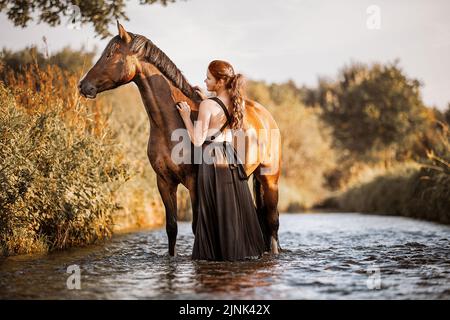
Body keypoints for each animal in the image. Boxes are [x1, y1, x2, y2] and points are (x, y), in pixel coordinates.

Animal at [78, 21, 282, 256]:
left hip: (270, 179)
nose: (83, 86)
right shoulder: (164, 182)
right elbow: (171, 227)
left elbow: (195, 226)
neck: (171, 126)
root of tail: (265, 115)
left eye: (111, 54)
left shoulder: (193, 182)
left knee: (272, 223)